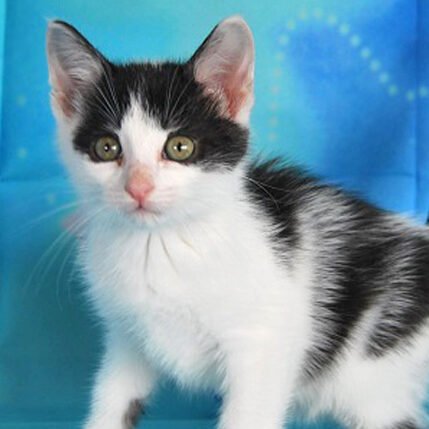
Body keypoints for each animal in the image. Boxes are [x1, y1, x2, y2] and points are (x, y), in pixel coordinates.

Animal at [46, 15, 429, 429]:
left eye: (180, 147)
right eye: (107, 148)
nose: (139, 187)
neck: (162, 244)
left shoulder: (263, 345)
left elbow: (248, 412)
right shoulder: (126, 339)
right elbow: (113, 399)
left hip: (372, 374)